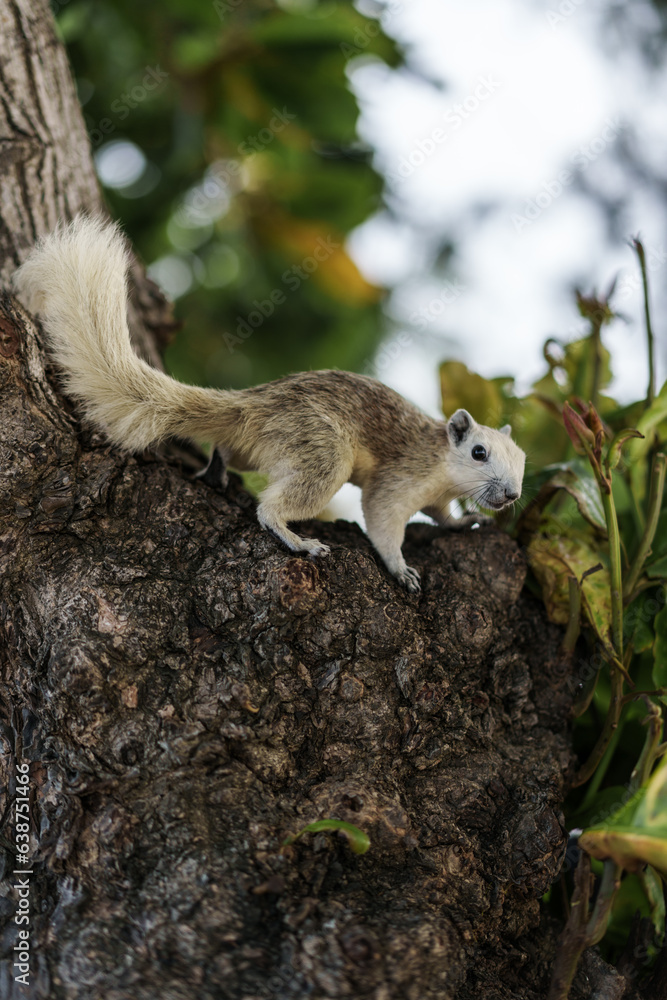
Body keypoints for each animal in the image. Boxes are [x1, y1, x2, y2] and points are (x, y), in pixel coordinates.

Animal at [13, 216, 526, 593]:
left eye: (522, 460)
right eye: (478, 452)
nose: (512, 495)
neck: (442, 466)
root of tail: (252, 405)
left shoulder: (436, 495)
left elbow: (441, 515)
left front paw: (465, 522)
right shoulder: (402, 477)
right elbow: (382, 520)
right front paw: (401, 569)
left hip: (261, 447)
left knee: (228, 448)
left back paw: (217, 471)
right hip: (321, 450)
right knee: (270, 508)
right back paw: (298, 541)